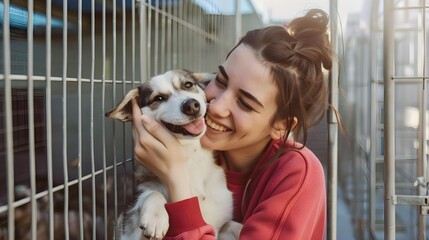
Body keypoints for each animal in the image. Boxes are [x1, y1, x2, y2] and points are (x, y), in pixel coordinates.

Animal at [104, 70, 241, 240]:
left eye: (188, 85)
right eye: (158, 98)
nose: (191, 106)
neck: (190, 155)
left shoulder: (221, 221)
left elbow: (233, 225)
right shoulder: (129, 230)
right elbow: (152, 193)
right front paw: (155, 217)